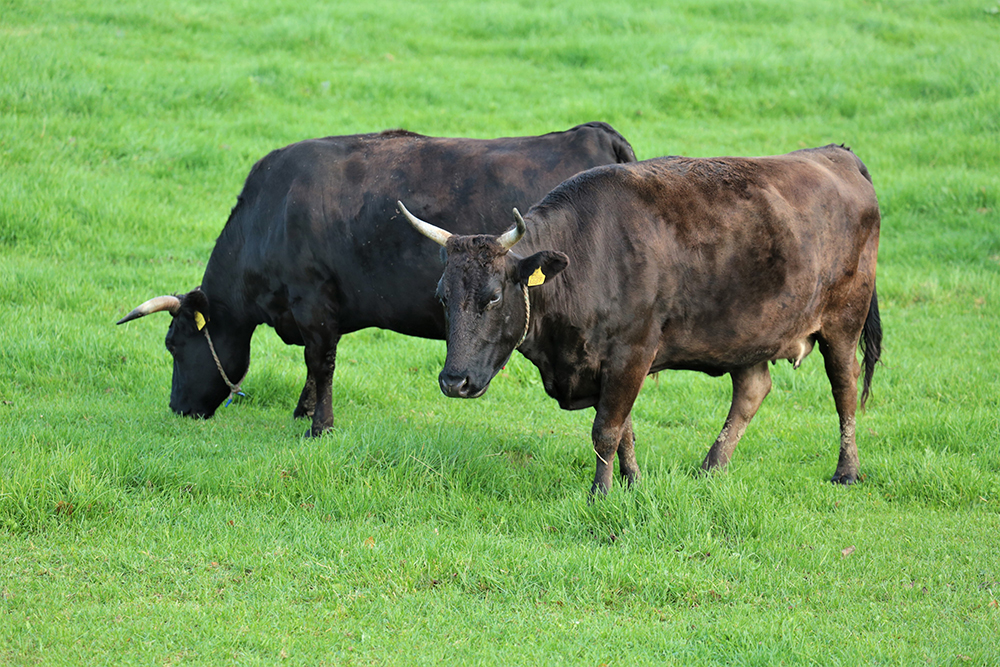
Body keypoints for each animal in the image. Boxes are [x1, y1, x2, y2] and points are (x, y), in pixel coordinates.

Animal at [117, 124, 632, 438]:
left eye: (174, 344)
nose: (178, 408)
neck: (270, 213)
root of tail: (594, 132)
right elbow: (312, 369)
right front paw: (303, 411)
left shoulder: (313, 302)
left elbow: (320, 363)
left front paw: (318, 426)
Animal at [402, 144, 880, 494]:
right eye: (442, 296)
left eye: (495, 296)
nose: (454, 381)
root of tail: (835, 155)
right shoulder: (606, 364)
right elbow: (625, 429)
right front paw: (631, 482)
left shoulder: (631, 353)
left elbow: (607, 430)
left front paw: (601, 493)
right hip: (747, 335)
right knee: (752, 390)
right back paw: (711, 467)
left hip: (843, 320)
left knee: (844, 388)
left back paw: (846, 471)